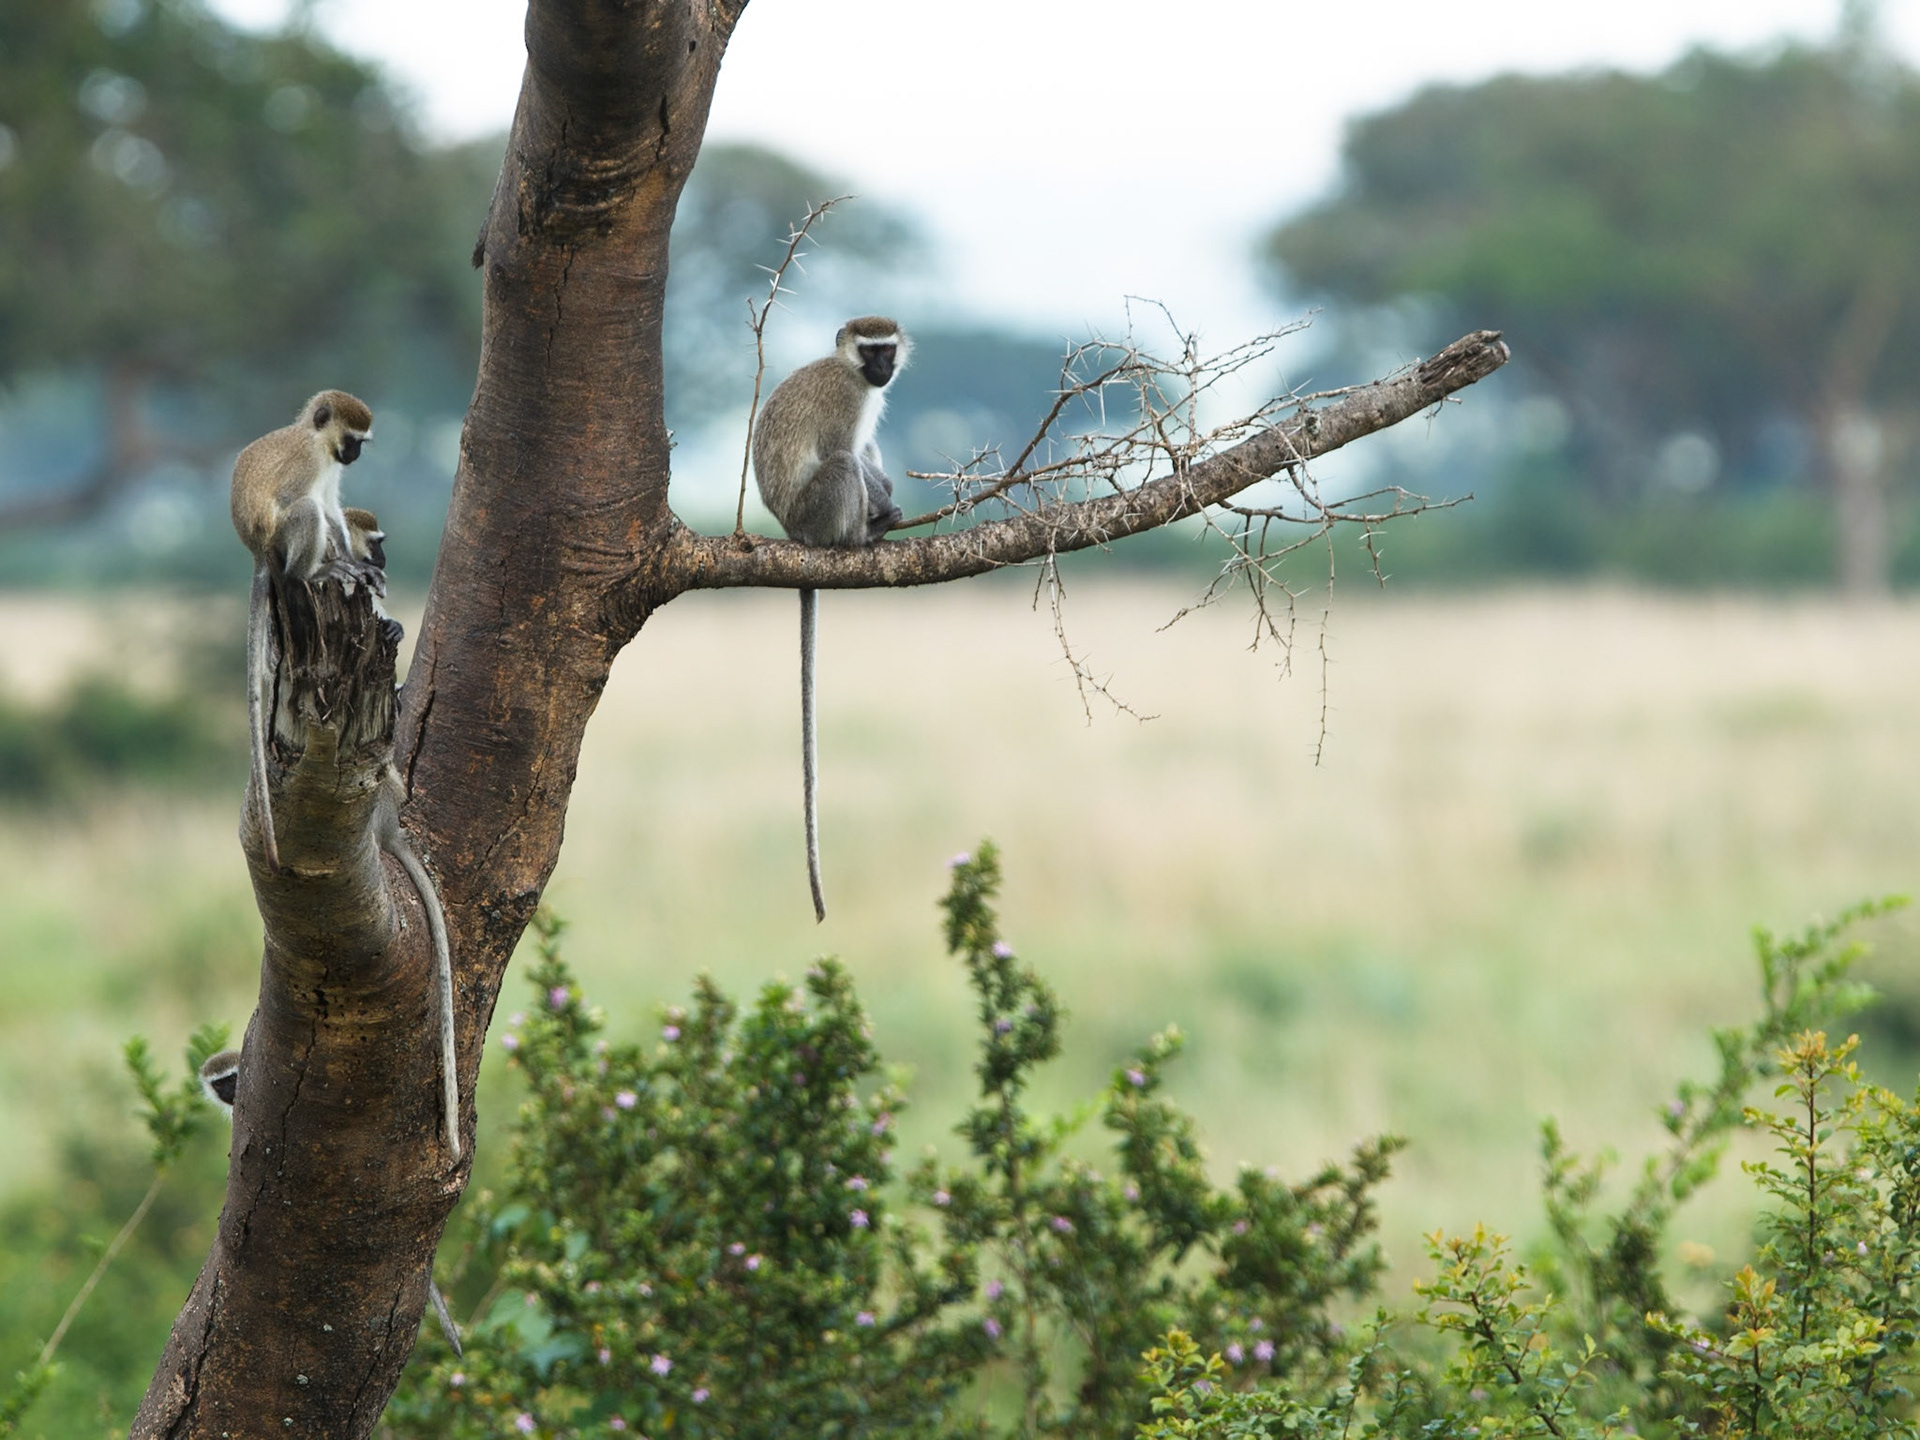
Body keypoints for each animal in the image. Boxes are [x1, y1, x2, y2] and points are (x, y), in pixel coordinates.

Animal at [230, 390, 378, 875]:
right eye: (353, 440)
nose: (353, 457)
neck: (317, 440)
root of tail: (257, 549)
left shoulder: (329, 470)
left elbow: (333, 508)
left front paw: (353, 561)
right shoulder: (309, 463)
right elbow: (307, 502)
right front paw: (339, 564)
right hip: (280, 537)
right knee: (306, 511)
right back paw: (311, 572)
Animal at [752, 316, 909, 922]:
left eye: (888, 349)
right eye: (871, 351)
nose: (884, 370)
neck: (848, 369)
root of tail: (793, 534)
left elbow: (868, 447)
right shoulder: (848, 398)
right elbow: (846, 449)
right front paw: (884, 499)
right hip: (817, 514)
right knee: (844, 464)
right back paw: (865, 532)